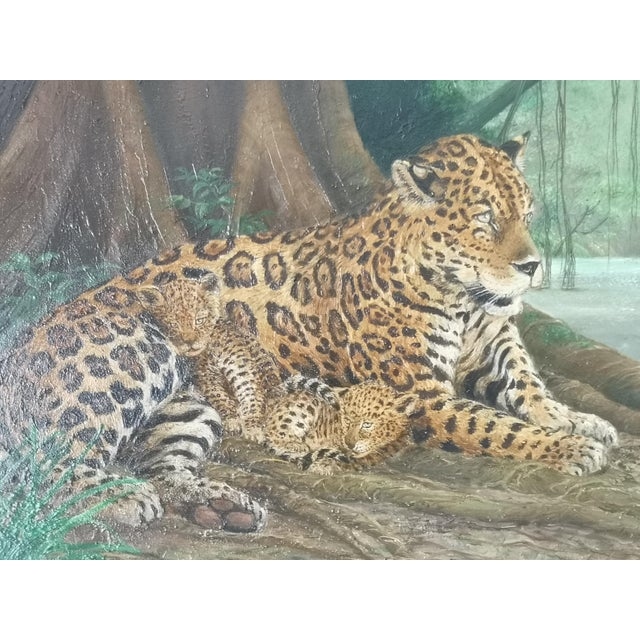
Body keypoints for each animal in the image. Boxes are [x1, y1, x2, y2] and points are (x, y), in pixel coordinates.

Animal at [0, 133, 620, 529]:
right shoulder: (416, 397)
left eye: (528, 215)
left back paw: (221, 504)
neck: (465, 300)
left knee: (161, 468)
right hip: (130, 353)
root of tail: (23, 345)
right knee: (49, 460)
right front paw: (569, 446)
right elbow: (494, 426)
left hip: (189, 408)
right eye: (485, 221)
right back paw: (120, 501)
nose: (533, 266)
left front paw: (580, 421)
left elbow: (530, 389)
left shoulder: (496, 347)